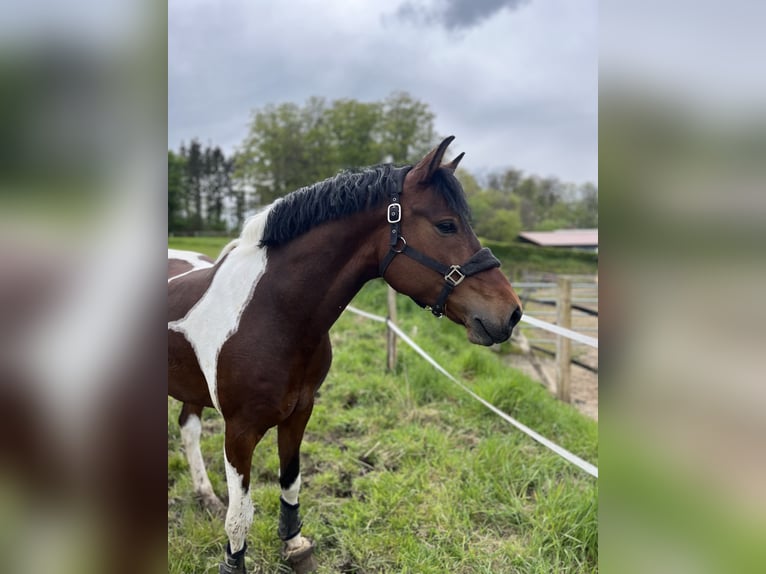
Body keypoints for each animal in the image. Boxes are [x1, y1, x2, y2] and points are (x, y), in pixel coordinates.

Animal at [169, 137, 524, 572]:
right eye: (446, 225)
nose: (511, 313)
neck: (270, 313)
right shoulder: (240, 431)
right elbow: (240, 517)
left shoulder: (300, 411)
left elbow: (291, 480)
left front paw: (294, 545)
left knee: (188, 428)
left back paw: (204, 495)